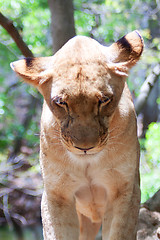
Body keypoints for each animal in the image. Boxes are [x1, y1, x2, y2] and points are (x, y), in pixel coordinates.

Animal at [10, 31, 144, 239]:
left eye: (104, 100)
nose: (85, 147)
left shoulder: (124, 190)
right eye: (60, 102)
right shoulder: (57, 194)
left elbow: (119, 233)